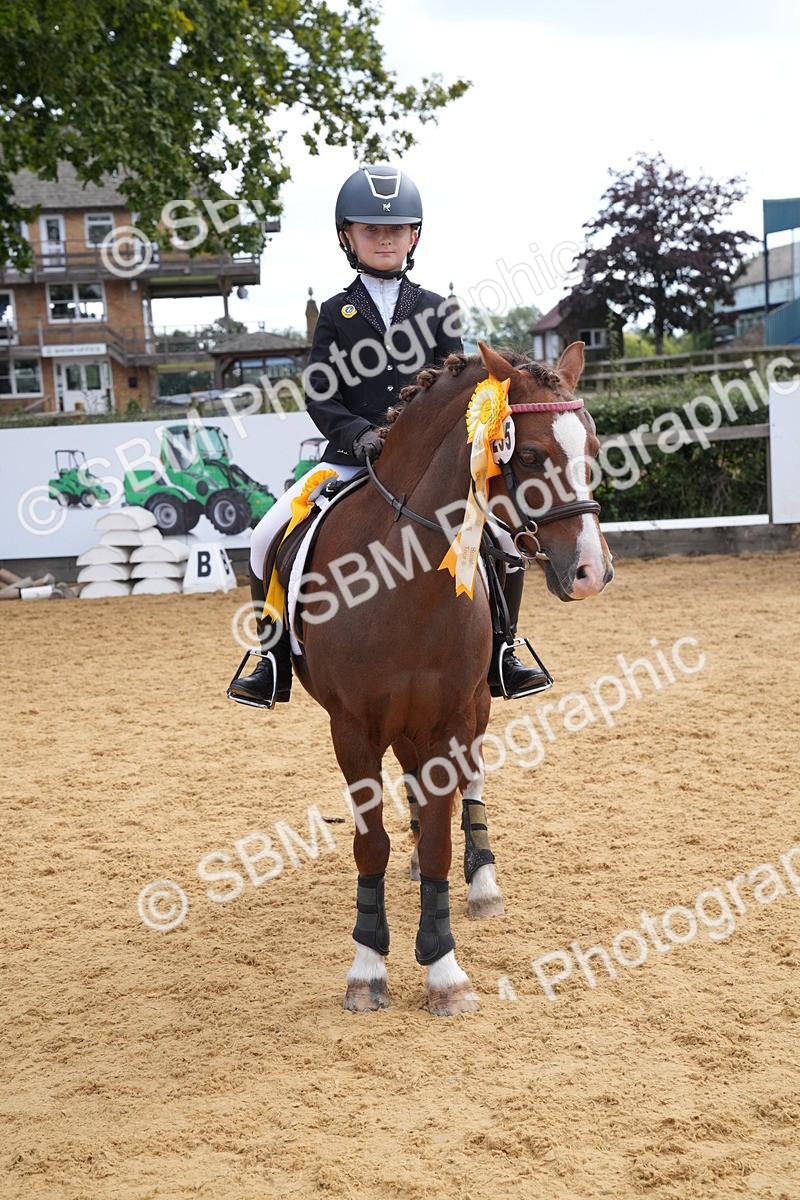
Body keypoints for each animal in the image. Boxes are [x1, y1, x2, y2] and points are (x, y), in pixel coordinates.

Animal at [292, 340, 613, 1015]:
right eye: (531, 454)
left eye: (593, 451)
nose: (591, 571)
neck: (400, 584)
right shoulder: (352, 728)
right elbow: (371, 845)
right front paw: (367, 968)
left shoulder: (446, 716)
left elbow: (444, 835)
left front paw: (443, 970)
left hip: (472, 708)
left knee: (472, 782)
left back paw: (483, 883)